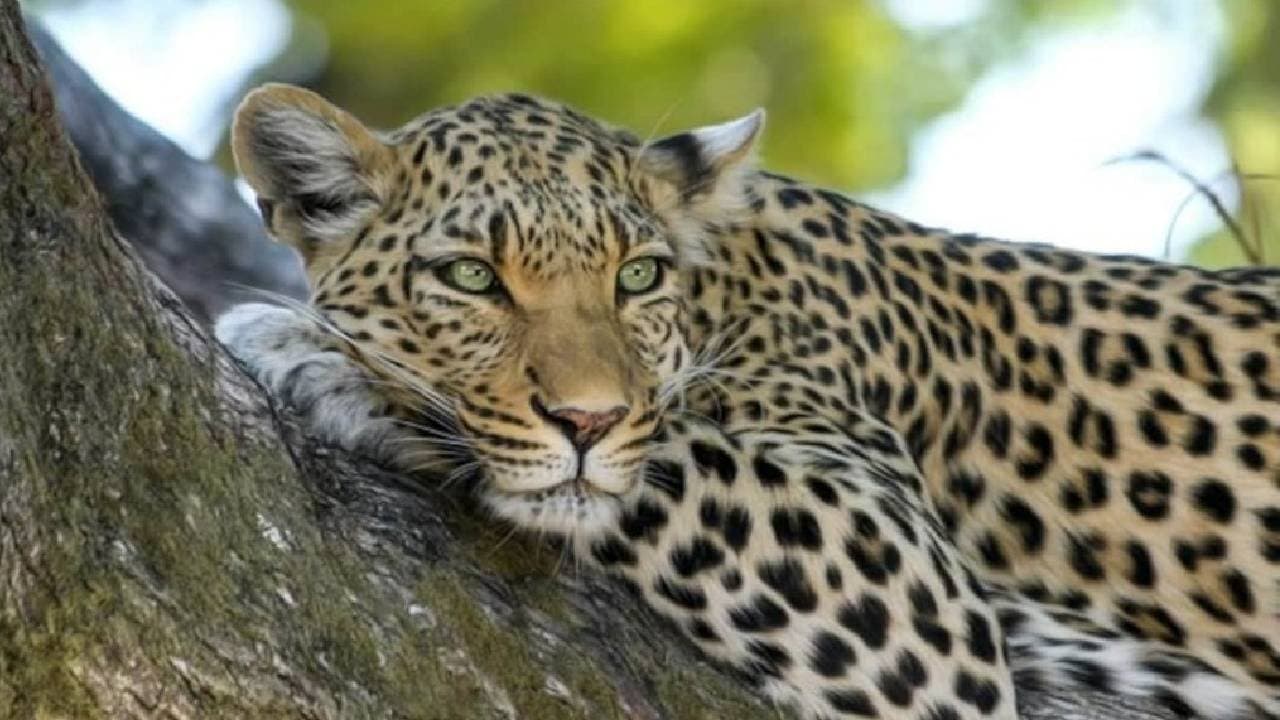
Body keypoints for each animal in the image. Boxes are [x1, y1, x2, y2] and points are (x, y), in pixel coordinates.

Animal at [215, 82, 1280, 720]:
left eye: (637, 276)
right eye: (472, 278)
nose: (588, 422)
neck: (726, 290)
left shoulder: (912, 590)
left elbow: (672, 455)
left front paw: (326, 359)